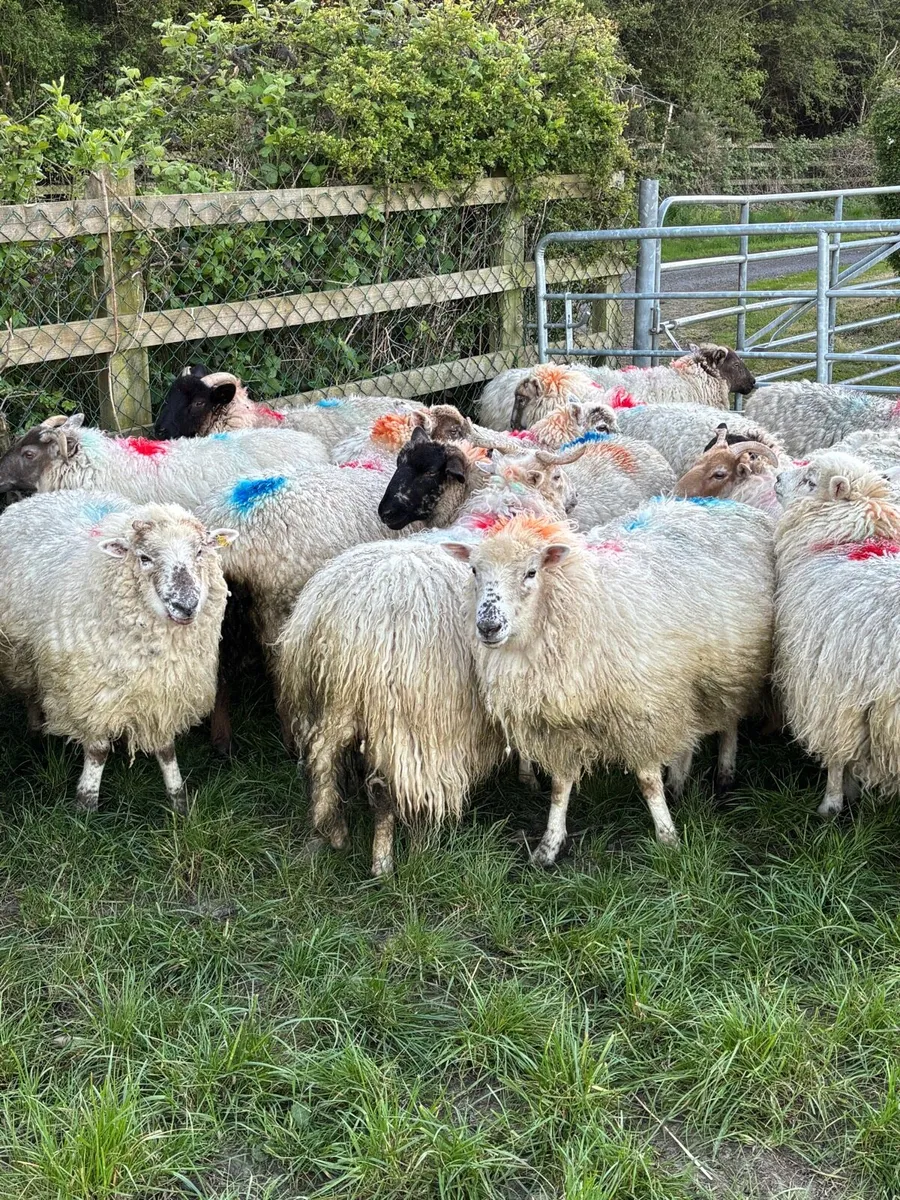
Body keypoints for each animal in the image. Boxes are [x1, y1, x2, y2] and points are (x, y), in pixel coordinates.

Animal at [0, 490, 235, 812]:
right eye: (145, 558)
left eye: (200, 552)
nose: (186, 606)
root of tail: (43, 496)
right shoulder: (90, 695)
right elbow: (98, 751)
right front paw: (85, 806)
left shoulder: (165, 694)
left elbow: (166, 749)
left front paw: (179, 801)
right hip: (21, 656)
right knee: (31, 694)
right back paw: (36, 733)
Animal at [276, 463, 572, 877]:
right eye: (557, 480)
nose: (573, 502)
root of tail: (338, 621)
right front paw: (528, 775)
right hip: (395, 716)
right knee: (382, 786)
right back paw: (383, 862)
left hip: (330, 702)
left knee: (321, 759)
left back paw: (331, 831)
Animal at [443, 500, 774, 864]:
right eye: (474, 570)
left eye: (531, 572)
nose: (488, 626)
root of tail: (740, 507)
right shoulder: (559, 726)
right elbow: (559, 787)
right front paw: (548, 846)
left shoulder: (641, 710)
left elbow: (648, 781)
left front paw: (668, 838)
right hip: (685, 679)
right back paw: (679, 781)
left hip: (730, 667)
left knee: (728, 719)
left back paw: (724, 772)